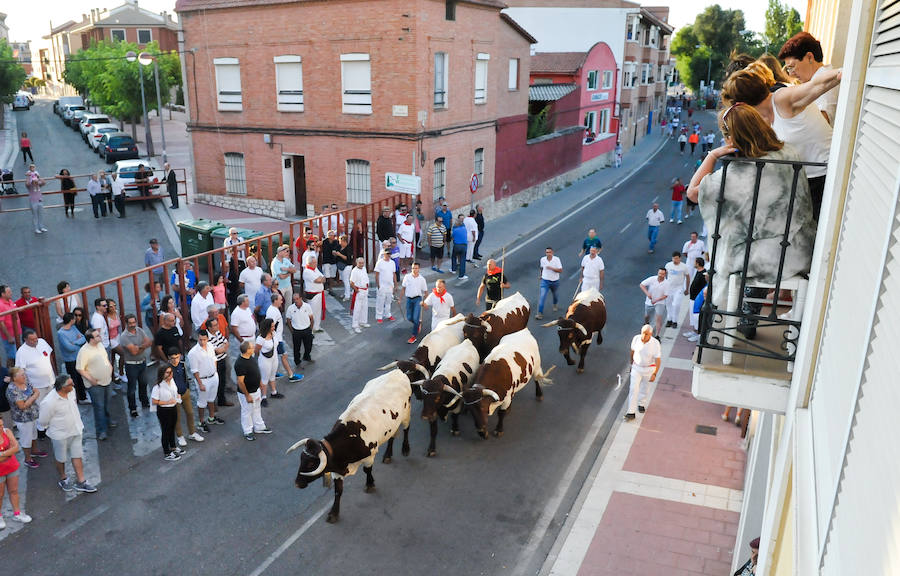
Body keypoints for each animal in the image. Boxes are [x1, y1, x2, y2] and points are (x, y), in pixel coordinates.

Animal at [286, 368, 414, 520]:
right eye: (301, 459)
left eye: (311, 463)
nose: (297, 483)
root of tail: (398, 372)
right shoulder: (336, 471)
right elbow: (338, 490)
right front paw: (334, 512)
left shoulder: (369, 457)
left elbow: (367, 471)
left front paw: (370, 484)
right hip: (392, 424)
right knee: (392, 437)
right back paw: (388, 455)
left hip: (406, 413)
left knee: (406, 429)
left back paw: (405, 448)